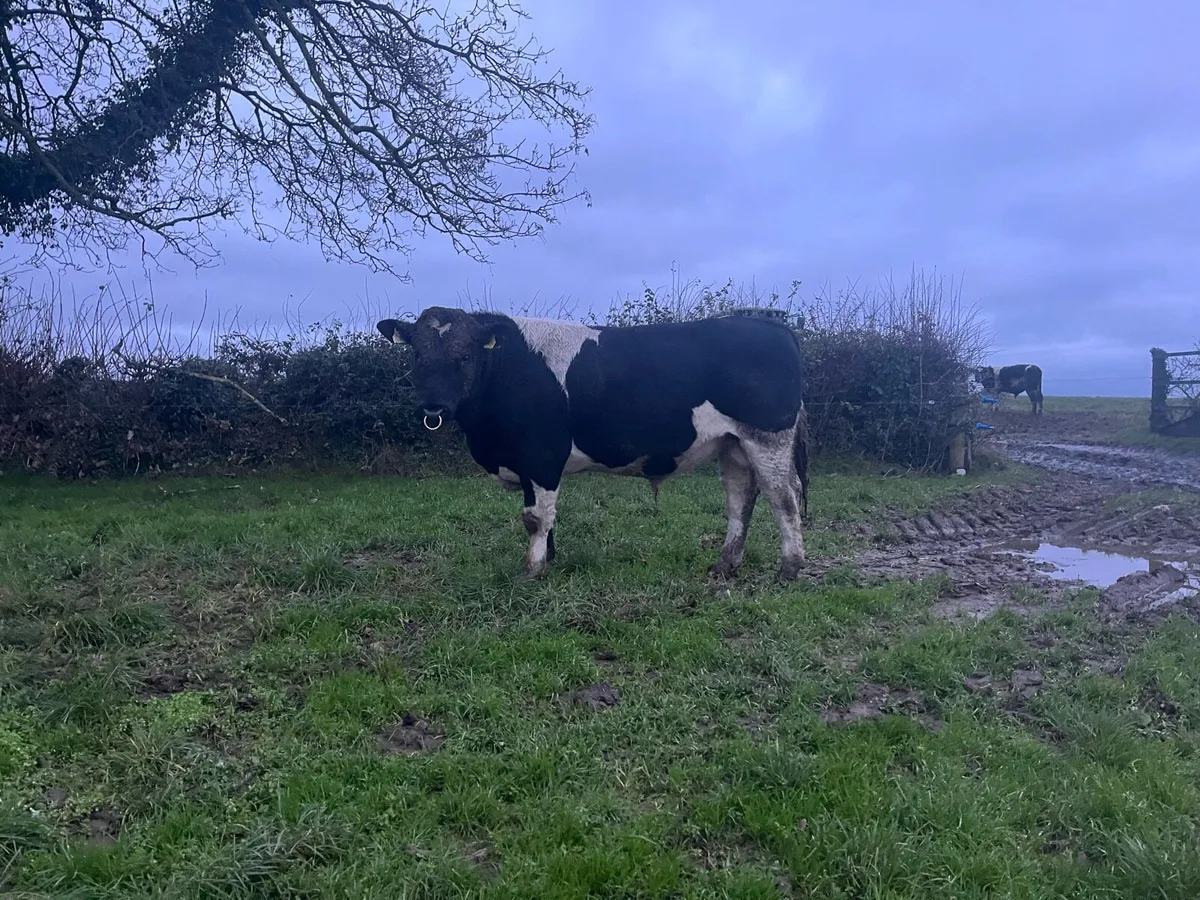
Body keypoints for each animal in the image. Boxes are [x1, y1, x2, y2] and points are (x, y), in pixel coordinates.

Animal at [377, 307, 811, 582]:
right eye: (417, 354)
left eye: (465, 355)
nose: (434, 405)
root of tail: (775, 328)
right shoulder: (527, 461)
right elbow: (540, 515)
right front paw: (549, 559)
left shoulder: (541, 454)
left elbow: (536, 517)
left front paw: (532, 570)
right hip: (731, 443)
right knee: (741, 498)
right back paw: (725, 565)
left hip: (767, 437)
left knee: (783, 497)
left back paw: (790, 567)